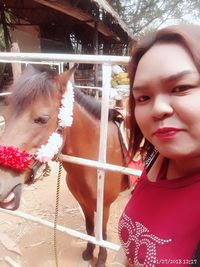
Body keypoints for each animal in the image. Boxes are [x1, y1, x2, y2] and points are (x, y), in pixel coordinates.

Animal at [0, 65, 129, 267]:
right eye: (4, 116)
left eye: (42, 119)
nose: (1, 185)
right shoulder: (83, 202)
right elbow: (90, 228)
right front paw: (88, 252)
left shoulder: (104, 206)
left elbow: (101, 233)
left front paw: (101, 259)